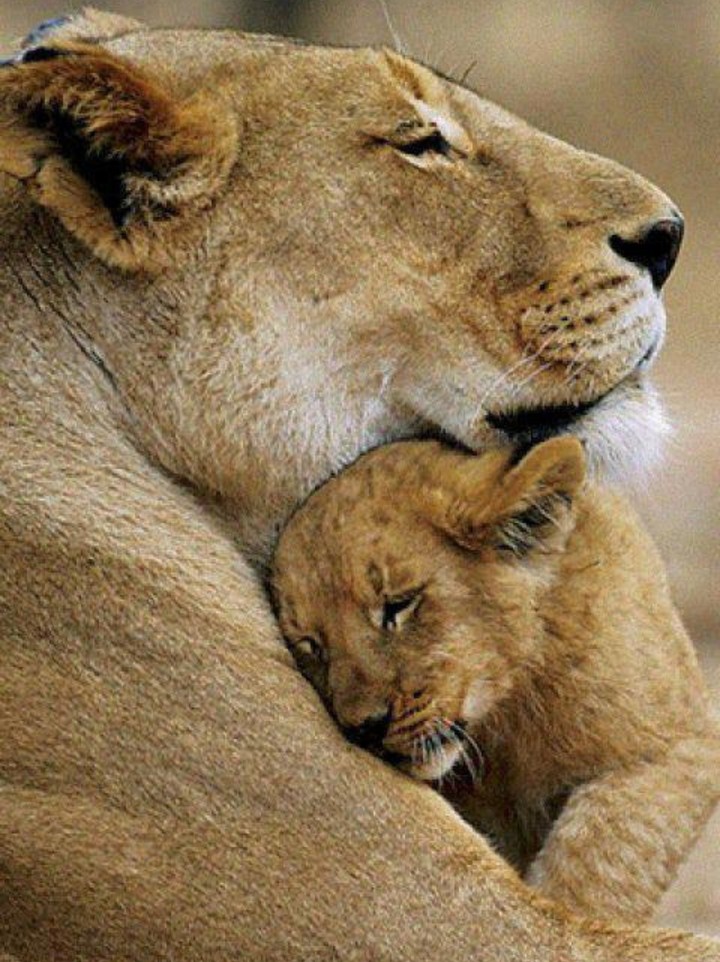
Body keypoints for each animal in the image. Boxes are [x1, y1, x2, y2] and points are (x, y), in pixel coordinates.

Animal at [272, 436, 720, 923]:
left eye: (398, 604)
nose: (365, 728)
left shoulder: (682, 744)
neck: (506, 720)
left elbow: (603, 853)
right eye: (311, 644)